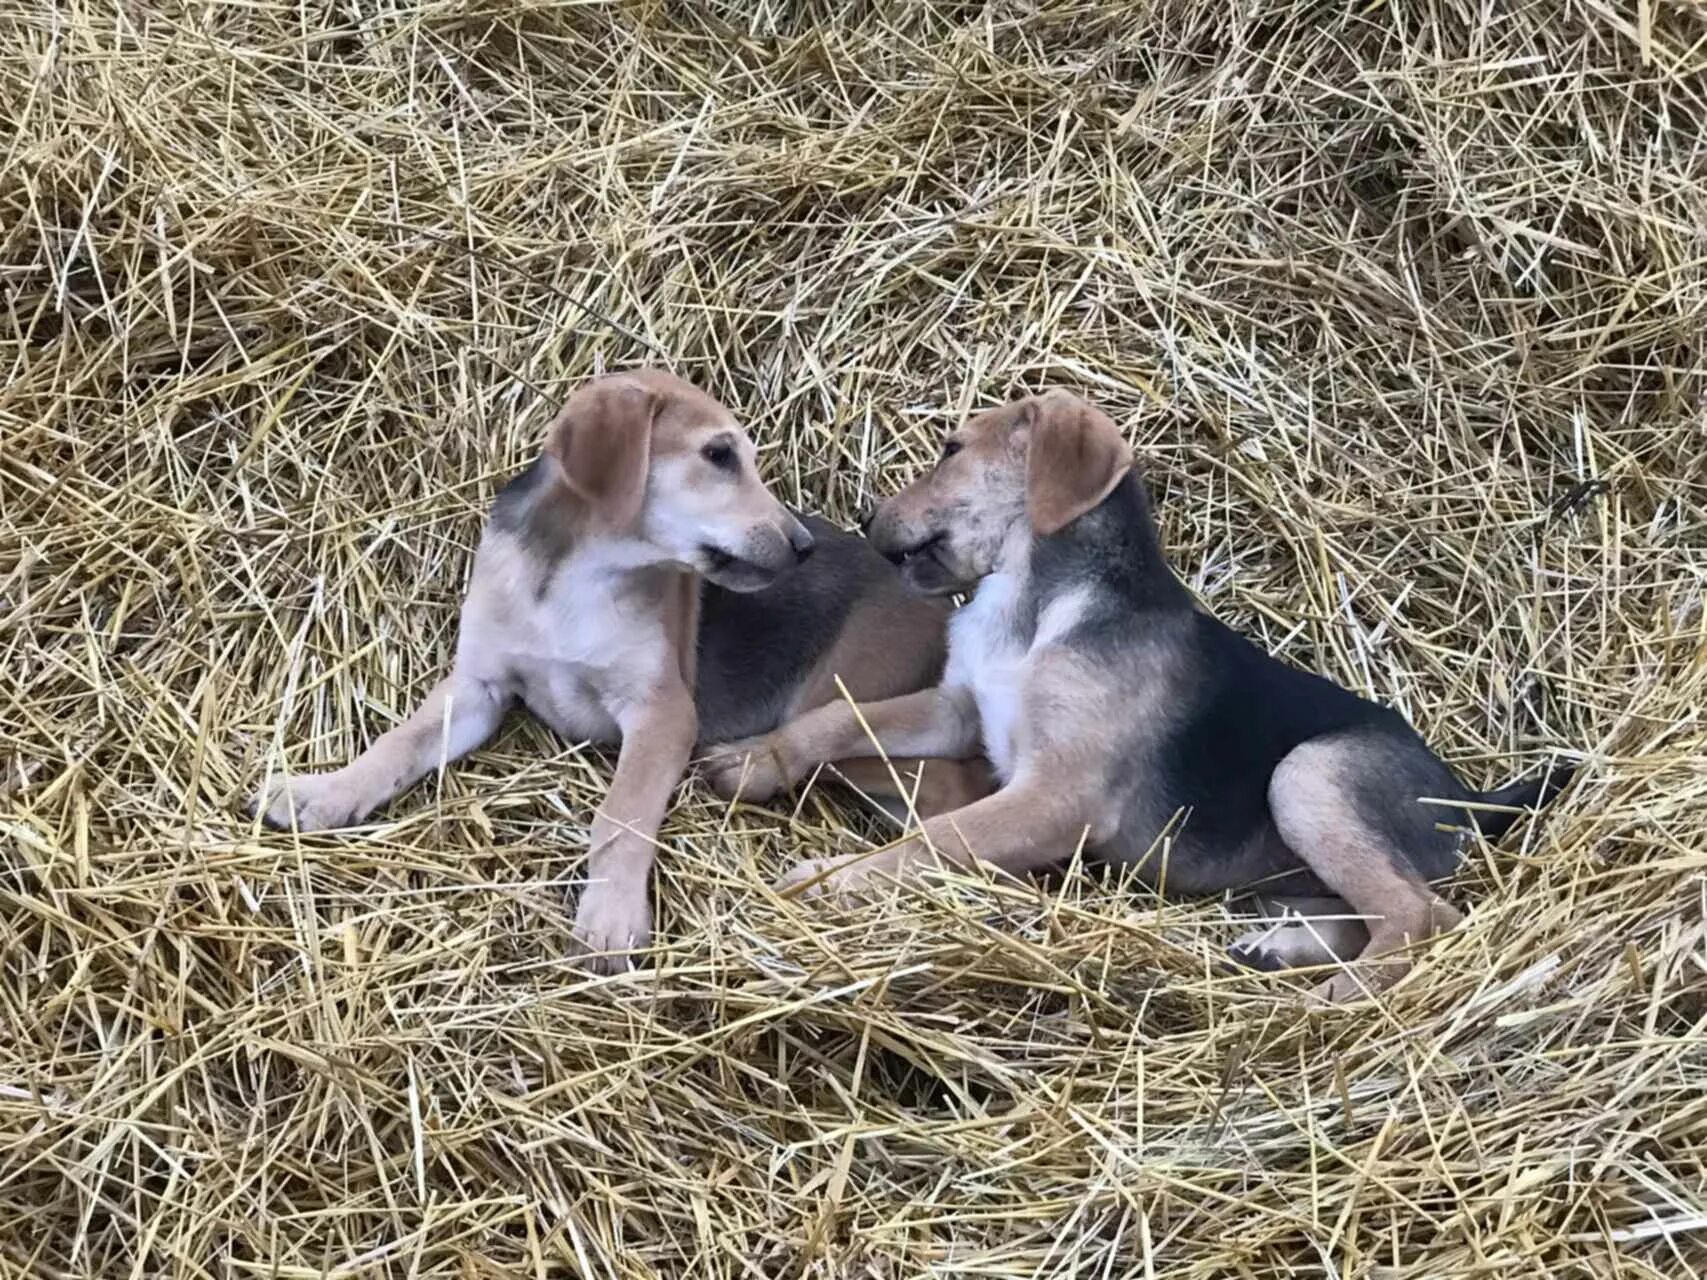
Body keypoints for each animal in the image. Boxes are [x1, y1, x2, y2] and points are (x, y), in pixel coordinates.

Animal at [259, 370, 996, 969]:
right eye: (719, 456)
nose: (802, 545)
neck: (575, 578)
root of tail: (946, 608)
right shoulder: (478, 687)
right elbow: (398, 744)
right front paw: (325, 793)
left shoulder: (662, 713)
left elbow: (622, 813)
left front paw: (610, 915)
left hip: (837, 704)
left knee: (943, 788)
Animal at [706, 389, 1570, 1003]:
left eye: (952, 448)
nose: (862, 515)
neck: (1035, 609)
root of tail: (1470, 796)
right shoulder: (958, 711)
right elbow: (835, 718)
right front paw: (755, 759)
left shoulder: (1055, 795)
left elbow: (934, 840)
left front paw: (831, 878)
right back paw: (1284, 947)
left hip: (1308, 774)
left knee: (1423, 915)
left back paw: (1334, 996)